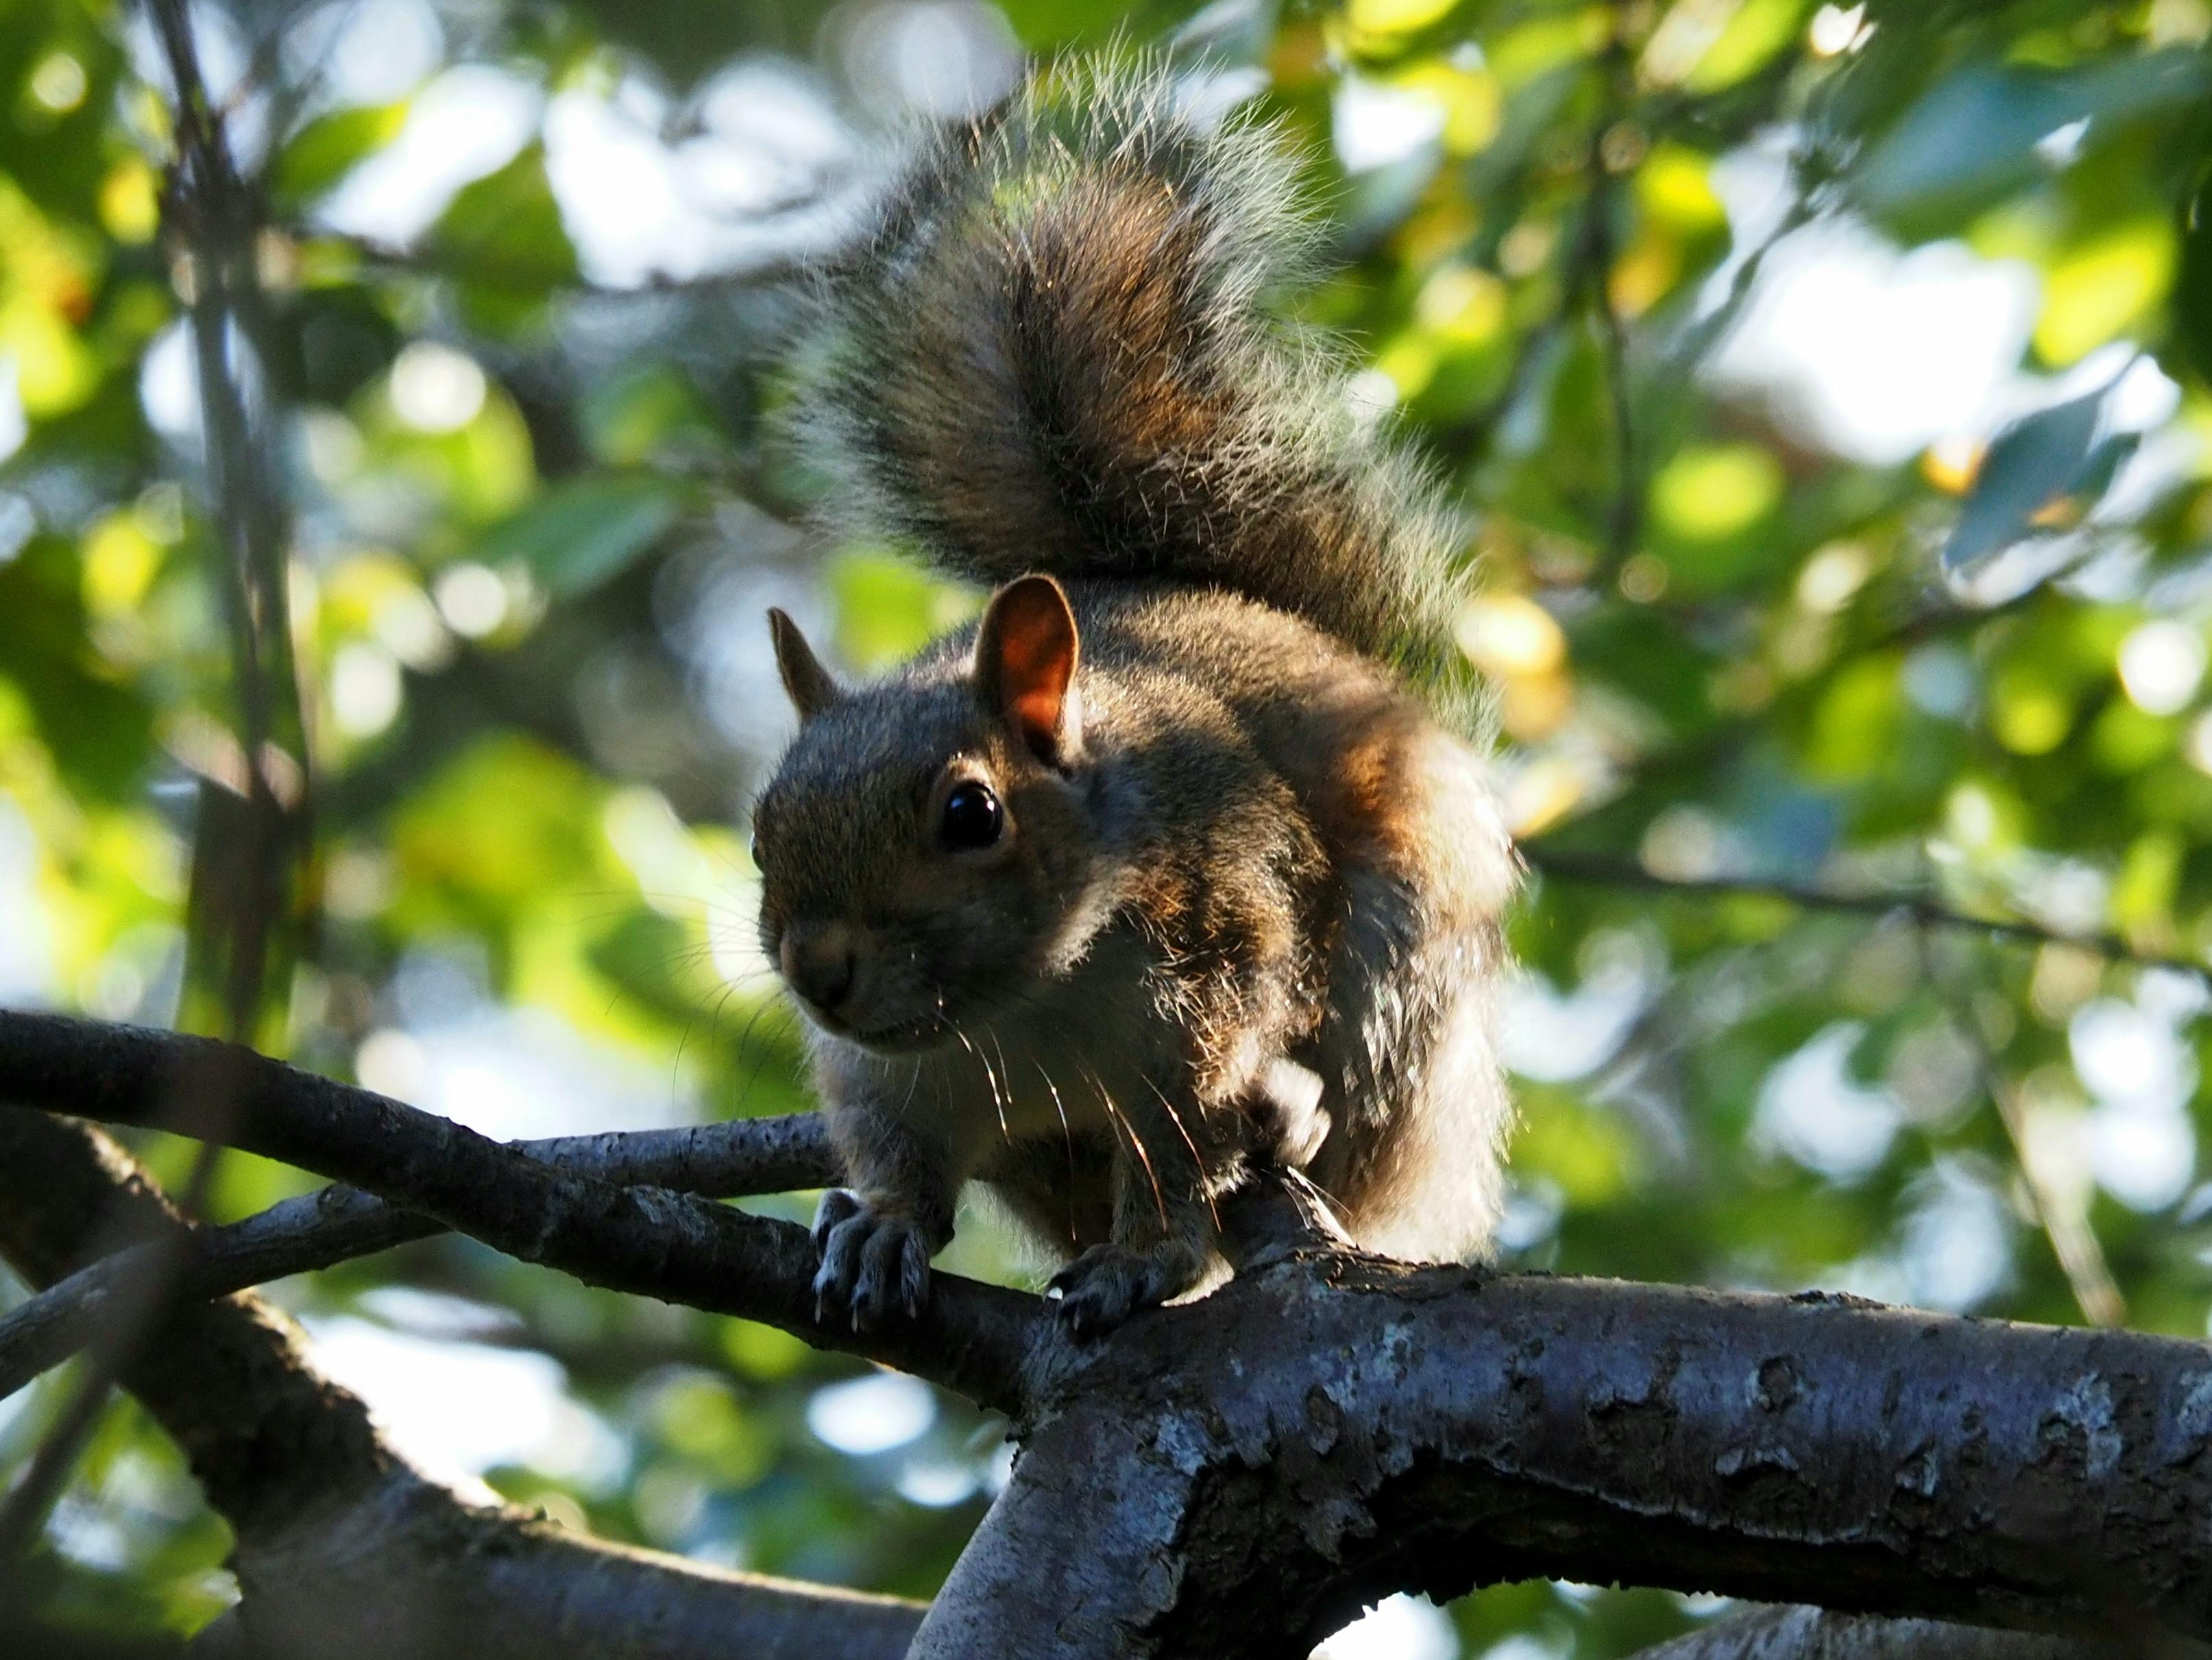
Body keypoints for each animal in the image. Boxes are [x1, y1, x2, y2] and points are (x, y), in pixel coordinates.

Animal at [749, 61, 1520, 1337]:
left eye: (971, 814)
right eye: (760, 834)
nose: (818, 970)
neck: (1020, 1007)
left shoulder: (1214, 961)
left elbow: (1176, 1158)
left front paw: (1143, 1256)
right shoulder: (891, 1076)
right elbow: (900, 1157)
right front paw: (883, 1228)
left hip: (1408, 963)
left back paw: (1291, 1106)